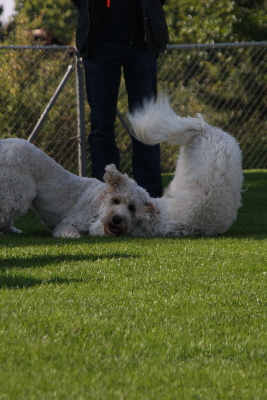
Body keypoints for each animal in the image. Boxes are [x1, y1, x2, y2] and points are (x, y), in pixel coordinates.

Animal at [0, 138, 153, 238]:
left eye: (132, 207)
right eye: (116, 201)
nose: (117, 220)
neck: (100, 203)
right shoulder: (68, 223)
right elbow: (71, 232)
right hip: (18, 192)